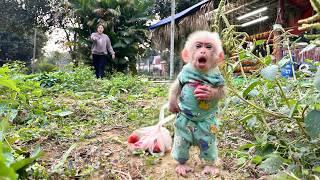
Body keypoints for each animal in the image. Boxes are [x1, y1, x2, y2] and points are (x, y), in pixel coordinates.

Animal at [169, 31, 226, 177]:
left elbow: (221, 92)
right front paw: (172, 105)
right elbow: (177, 86)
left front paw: (208, 93)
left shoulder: (219, 77)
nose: (203, 51)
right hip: (182, 127)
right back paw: (182, 165)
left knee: (208, 149)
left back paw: (210, 166)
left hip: (208, 134)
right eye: (198, 46)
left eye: (209, 47)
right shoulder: (183, 73)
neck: (200, 72)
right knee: (181, 145)